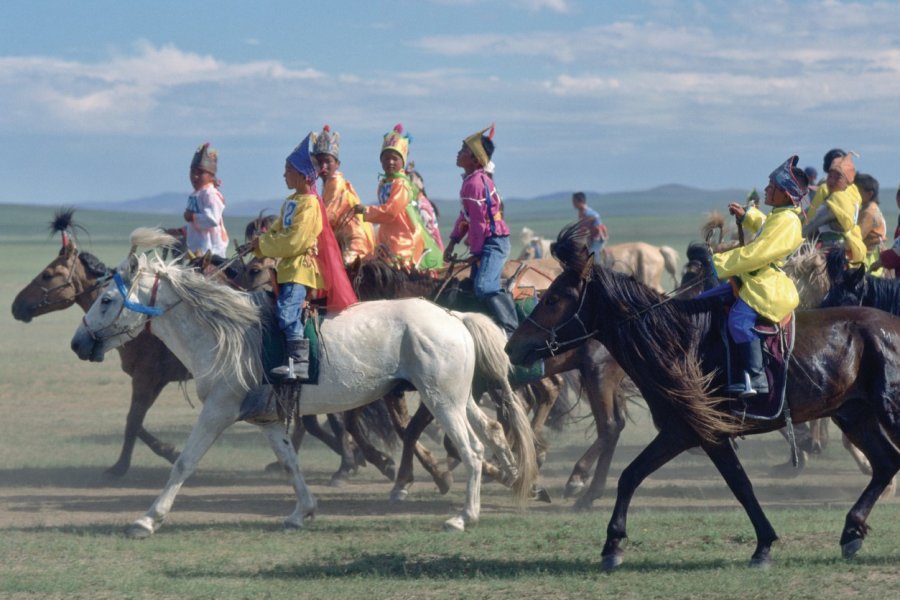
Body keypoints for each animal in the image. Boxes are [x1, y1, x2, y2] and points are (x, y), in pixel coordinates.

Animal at [72, 229, 536, 536]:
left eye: (107, 300)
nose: (78, 343)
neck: (225, 335)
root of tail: (453, 316)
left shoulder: (218, 409)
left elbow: (185, 461)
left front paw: (147, 518)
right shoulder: (267, 418)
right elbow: (291, 461)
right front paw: (303, 512)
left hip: (441, 400)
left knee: (472, 449)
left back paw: (463, 515)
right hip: (458, 398)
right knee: (493, 431)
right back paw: (514, 481)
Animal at [506, 223, 900, 568]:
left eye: (554, 297)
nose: (513, 346)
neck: (680, 343)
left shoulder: (699, 432)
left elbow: (737, 485)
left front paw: (763, 547)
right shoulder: (686, 432)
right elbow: (635, 476)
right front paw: (612, 544)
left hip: (886, 411)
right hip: (855, 415)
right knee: (885, 463)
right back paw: (851, 531)